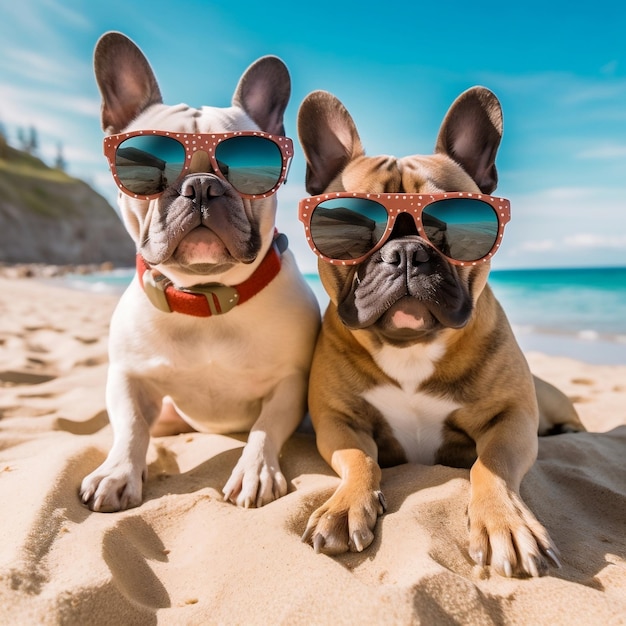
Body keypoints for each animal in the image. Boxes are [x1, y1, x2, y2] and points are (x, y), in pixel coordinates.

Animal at [80, 30, 320, 512]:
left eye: (248, 169)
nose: (202, 186)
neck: (205, 295)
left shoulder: (289, 382)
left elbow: (266, 424)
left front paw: (255, 470)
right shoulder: (128, 376)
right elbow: (131, 426)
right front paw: (117, 471)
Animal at [294, 86, 584, 576]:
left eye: (442, 224)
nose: (408, 252)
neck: (410, 347)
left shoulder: (511, 419)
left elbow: (491, 465)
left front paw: (503, 522)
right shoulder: (337, 421)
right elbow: (358, 458)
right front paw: (345, 505)